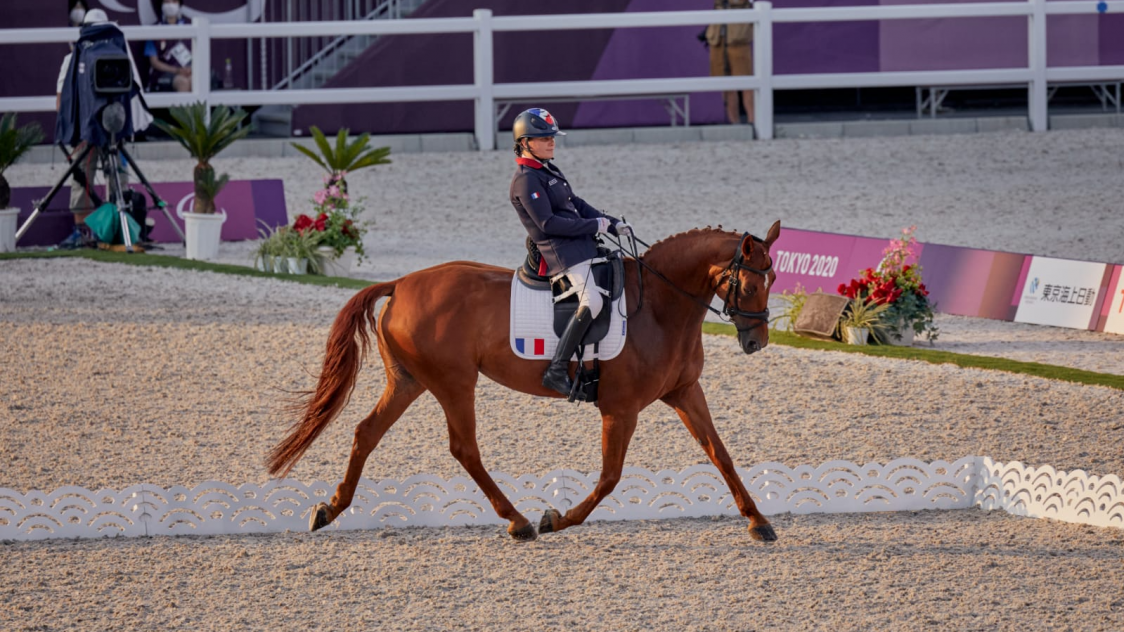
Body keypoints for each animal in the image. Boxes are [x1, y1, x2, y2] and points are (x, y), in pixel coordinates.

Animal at [269, 219, 782, 539]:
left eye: (774, 280)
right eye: (750, 284)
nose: (757, 342)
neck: (657, 306)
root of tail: (401, 284)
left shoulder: (684, 392)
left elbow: (721, 454)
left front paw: (757, 521)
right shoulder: (620, 409)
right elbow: (610, 477)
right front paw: (558, 518)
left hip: (409, 381)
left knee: (366, 432)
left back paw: (329, 509)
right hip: (454, 383)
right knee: (464, 448)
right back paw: (518, 521)